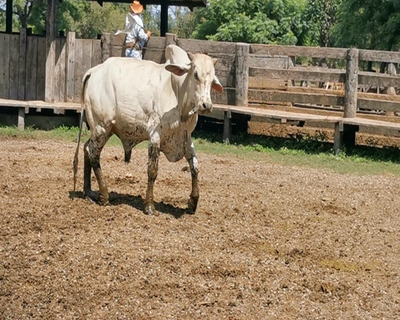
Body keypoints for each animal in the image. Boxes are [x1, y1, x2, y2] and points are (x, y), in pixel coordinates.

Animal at [73, 47, 223, 215]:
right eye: (196, 74)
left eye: (212, 80)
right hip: (102, 127)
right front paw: (149, 206)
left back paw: (89, 192)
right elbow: (152, 170)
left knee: (86, 148)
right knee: (93, 153)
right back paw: (104, 196)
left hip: (102, 130)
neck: (178, 93)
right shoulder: (155, 135)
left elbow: (195, 168)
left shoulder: (186, 138)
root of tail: (93, 71)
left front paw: (193, 202)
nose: (206, 105)